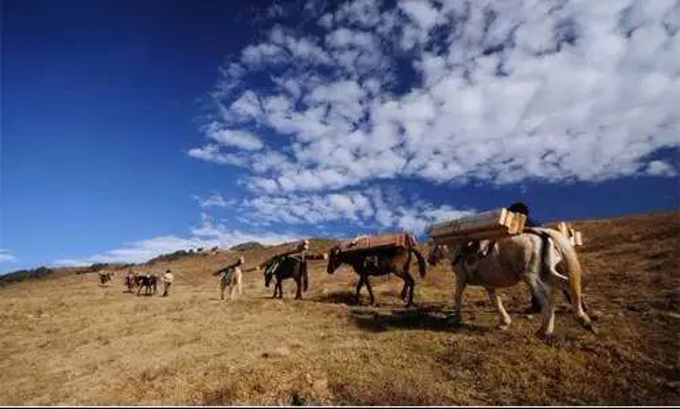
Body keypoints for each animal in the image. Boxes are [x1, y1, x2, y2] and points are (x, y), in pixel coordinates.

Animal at [427, 227, 596, 337]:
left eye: (431, 244)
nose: (429, 259)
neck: (458, 248)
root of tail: (542, 233)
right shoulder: (489, 285)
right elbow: (496, 301)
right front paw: (504, 322)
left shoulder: (461, 278)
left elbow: (457, 296)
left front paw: (455, 318)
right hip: (547, 272)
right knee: (566, 284)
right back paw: (584, 320)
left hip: (531, 276)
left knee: (546, 297)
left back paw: (544, 330)